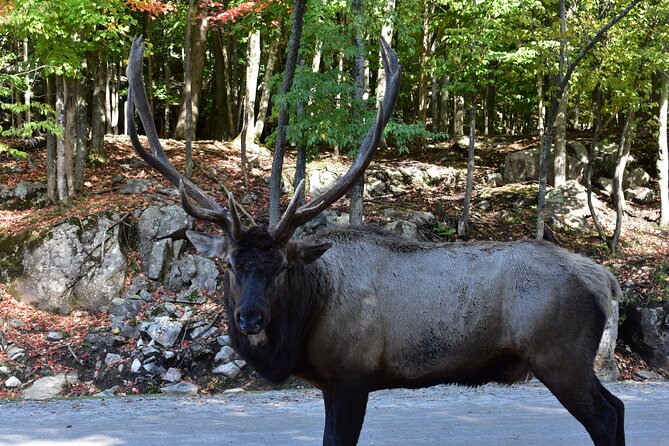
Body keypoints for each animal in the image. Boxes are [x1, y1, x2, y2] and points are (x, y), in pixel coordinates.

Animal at [126, 35, 628, 446]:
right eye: (229, 264)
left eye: (282, 267)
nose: (250, 318)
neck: (309, 319)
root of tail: (606, 280)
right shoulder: (331, 383)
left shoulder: (354, 374)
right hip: (571, 359)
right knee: (618, 408)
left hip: (560, 356)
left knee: (606, 416)